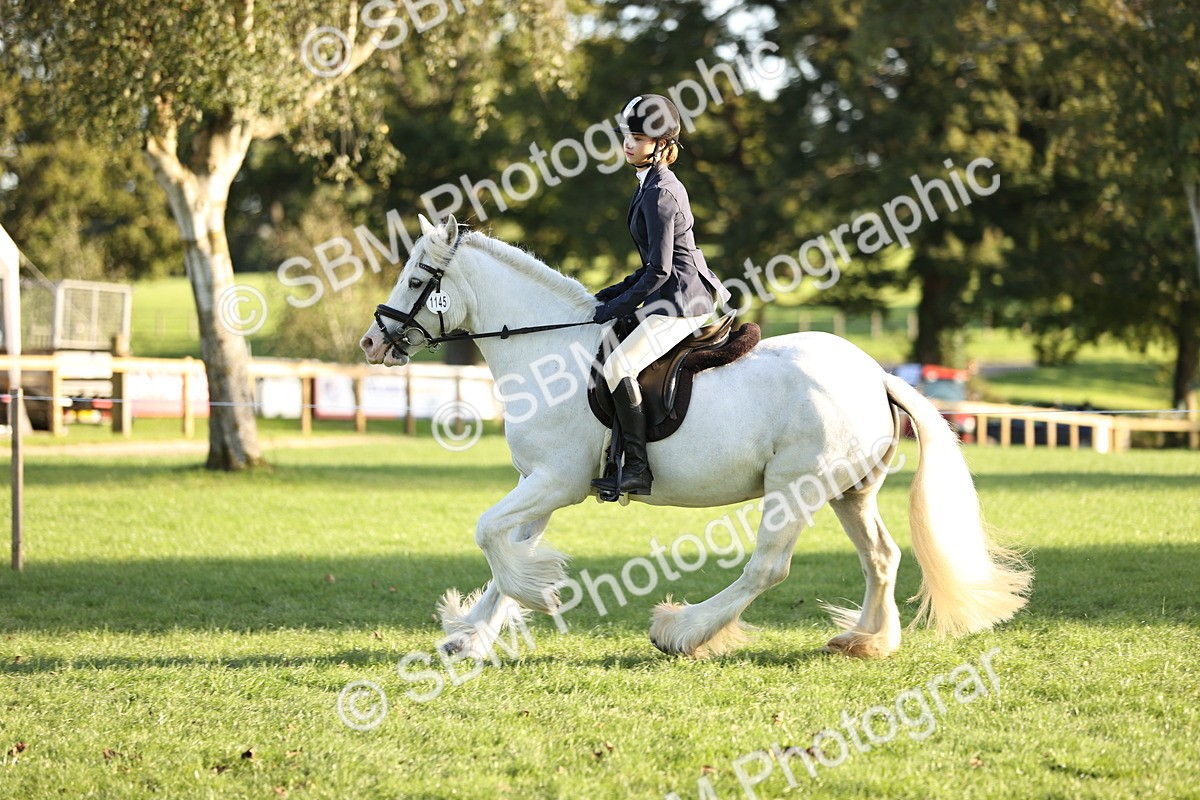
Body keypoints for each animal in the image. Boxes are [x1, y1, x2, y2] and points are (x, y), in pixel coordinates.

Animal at [359, 215, 1031, 660]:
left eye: (417, 277)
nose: (371, 342)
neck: (546, 351)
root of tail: (876, 375)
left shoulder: (557, 482)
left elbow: (488, 535)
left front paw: (534, 595)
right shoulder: (539, 485)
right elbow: (505, 548)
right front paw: (469, 636)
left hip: (795, 487)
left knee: (769, 568)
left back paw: (681, 631)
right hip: (850, 491)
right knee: (881, 557)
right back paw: (867, 640)